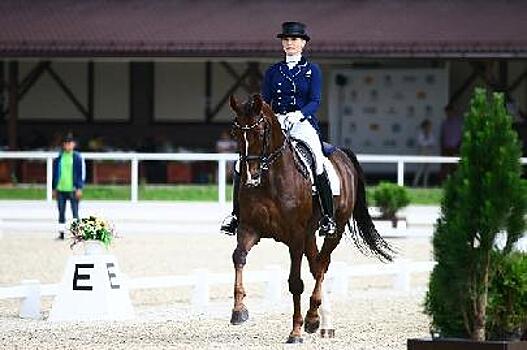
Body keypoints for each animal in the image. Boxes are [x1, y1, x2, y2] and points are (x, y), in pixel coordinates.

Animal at [229, 94, 394, 344]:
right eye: (236, 133)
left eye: (260, 132)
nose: (251, 177)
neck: (271, 179)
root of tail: (341, 154)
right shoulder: (249, 228)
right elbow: (238, 257)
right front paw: (239, 311)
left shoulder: (295, 237)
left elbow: (295, 283)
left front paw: (295, 332)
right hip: (309, 234)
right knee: (317, 266)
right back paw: (316, 319)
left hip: (334, 230)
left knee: (322, 265)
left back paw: (314, 318)